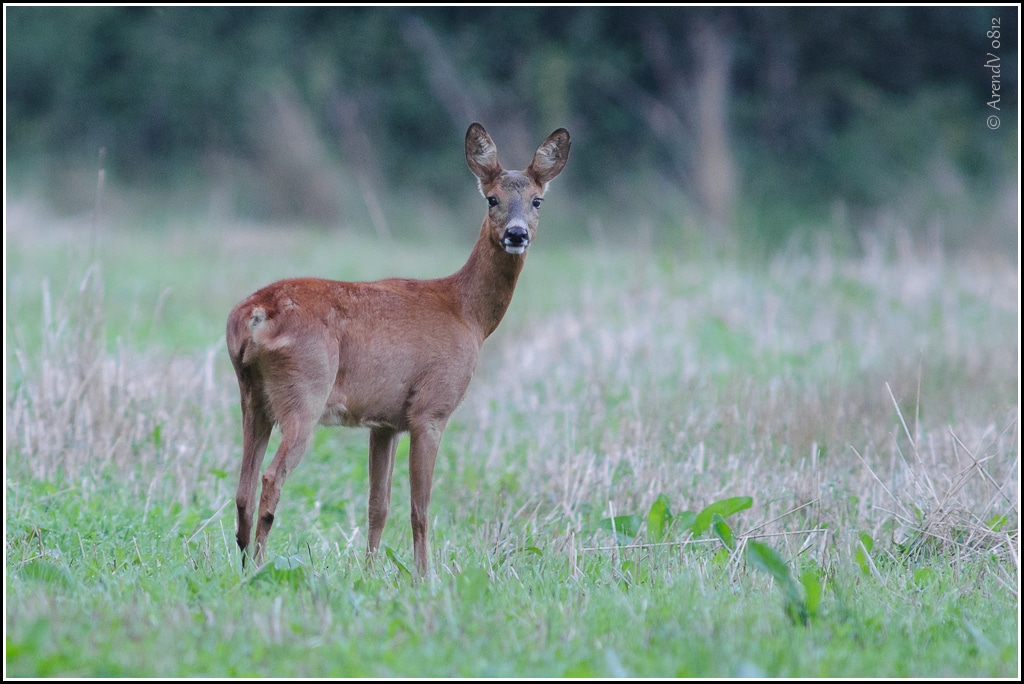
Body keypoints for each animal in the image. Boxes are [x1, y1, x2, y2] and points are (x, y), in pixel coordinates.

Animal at [226, 123, 570, 575]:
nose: (517, 234)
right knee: (270, 479)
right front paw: (426, 576)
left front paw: (370, 572)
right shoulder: (431, 409)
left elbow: (378, 506)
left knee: (243, 487)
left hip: (252, 397)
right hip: (305, 393)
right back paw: (261, 564)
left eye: (537, 200)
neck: (468, 313)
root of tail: (254, 314)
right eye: (491, 198)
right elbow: (419, 508)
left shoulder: (384, 421)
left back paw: (243, 564)